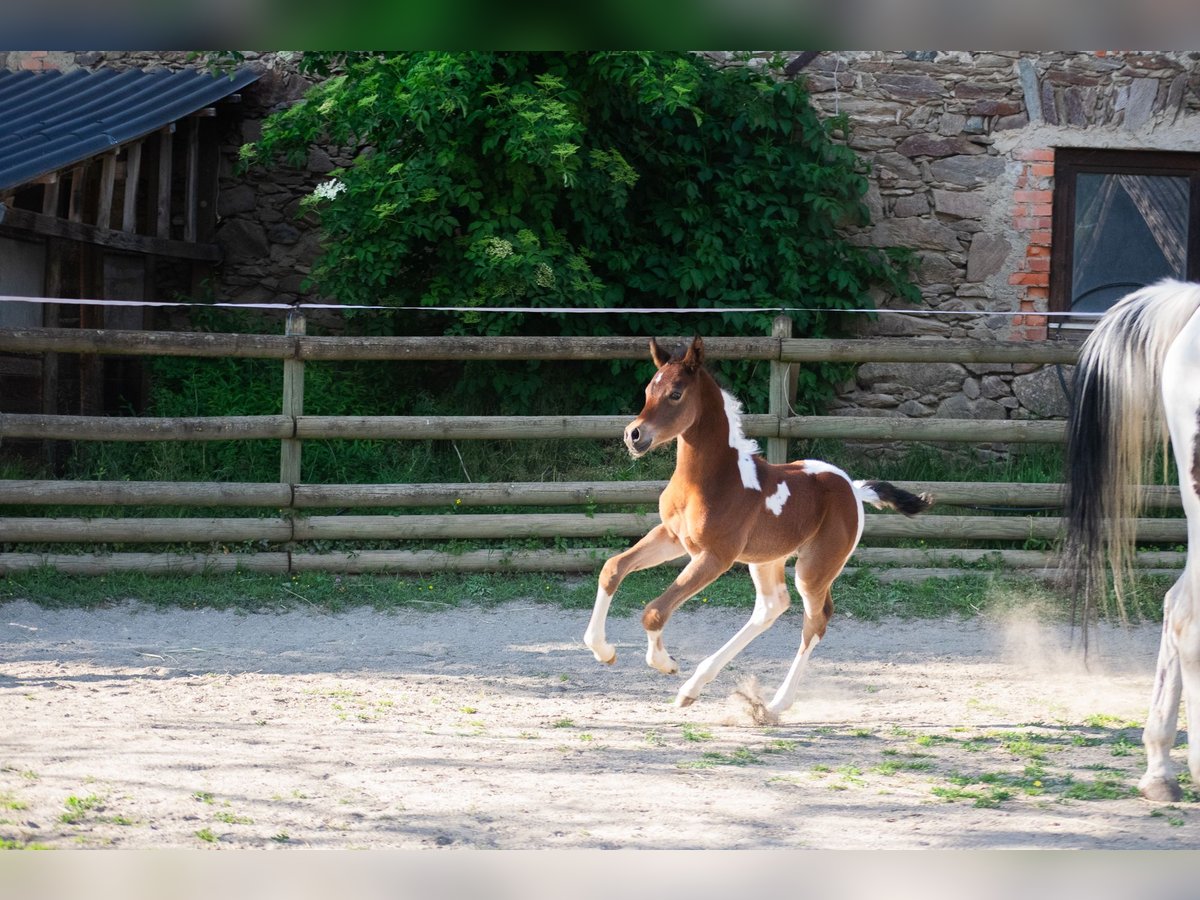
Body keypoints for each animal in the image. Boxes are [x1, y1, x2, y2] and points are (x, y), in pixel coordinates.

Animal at [583, 335, 932, 720]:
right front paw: (603, 650)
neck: (711, 479)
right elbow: (613, 568)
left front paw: (666, 663)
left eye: (675, 393)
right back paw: (695, 689)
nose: (634, 435)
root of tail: (853, 489)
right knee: (771, 606)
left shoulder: (715, 556)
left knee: (815, 620)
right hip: (766, 559)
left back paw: (775, 704)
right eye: (648, 390)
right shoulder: (673, 537)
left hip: (814, 569)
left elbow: (655, 610)